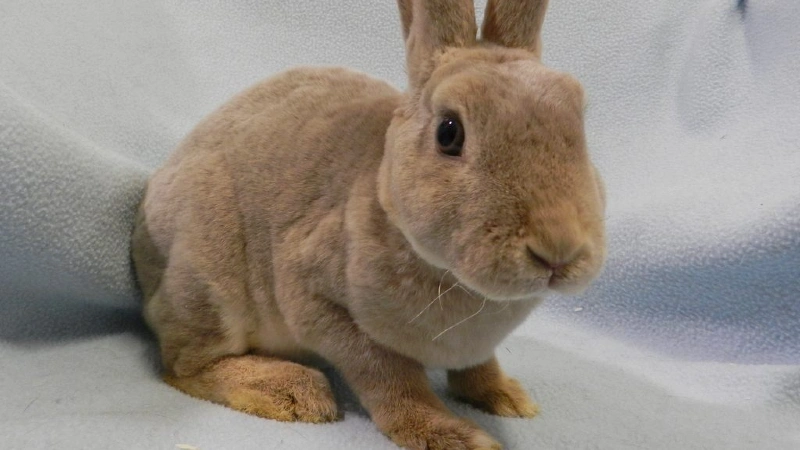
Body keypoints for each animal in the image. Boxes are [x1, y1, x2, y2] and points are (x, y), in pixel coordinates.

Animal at [130, 0, 606, 448]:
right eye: (449, 132)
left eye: (579, 119)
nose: (559, 250)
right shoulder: (316, 299)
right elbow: (388, 377)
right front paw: (448, 434)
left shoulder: (475, 349)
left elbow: (478, 367)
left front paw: (508, 398)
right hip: (207, 281)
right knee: (182, 366)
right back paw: (293, 393)